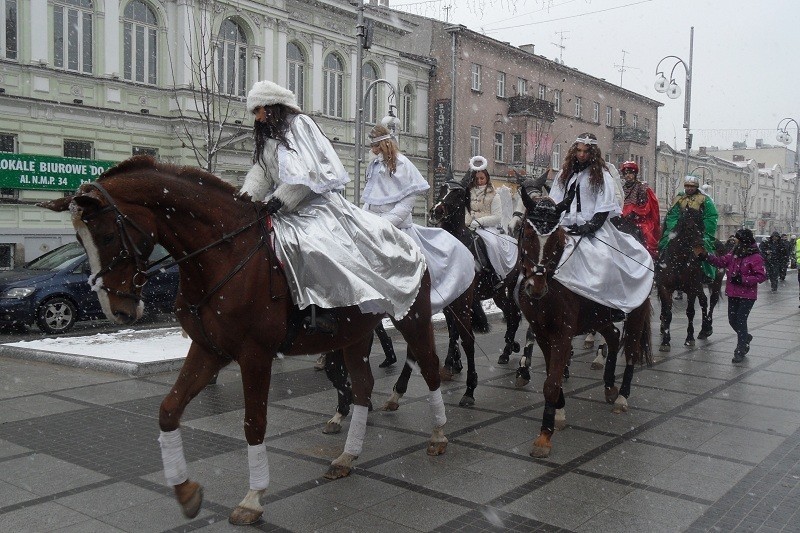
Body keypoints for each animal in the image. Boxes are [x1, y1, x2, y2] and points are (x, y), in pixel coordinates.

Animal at [39, 156, 450, 524]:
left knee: (429, 368)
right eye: (79, 240)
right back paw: (347, 456)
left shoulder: (255, 355)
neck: (223, 255)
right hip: (356, 335)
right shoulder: (209, 349)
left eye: (107, 235)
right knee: (362, 387)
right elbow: (169, 410)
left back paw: (438, 435)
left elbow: (254, 423)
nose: (117, 311)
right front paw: (186, 492)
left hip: (412, 319)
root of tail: (409, 238)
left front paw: (253, 499)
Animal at [652, 207, 720, 350]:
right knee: (704, 301)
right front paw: (665, 341)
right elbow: (667, 312)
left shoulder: (691, 289)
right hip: (700, 286)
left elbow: (690, 312)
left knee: (712, 302)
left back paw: (707, 329)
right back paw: (703, 330)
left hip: (714, 282)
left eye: (703, 227)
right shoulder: (665, 288)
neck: (678, 262)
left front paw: (689, 338)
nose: (701, 253)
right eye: (689, 228)